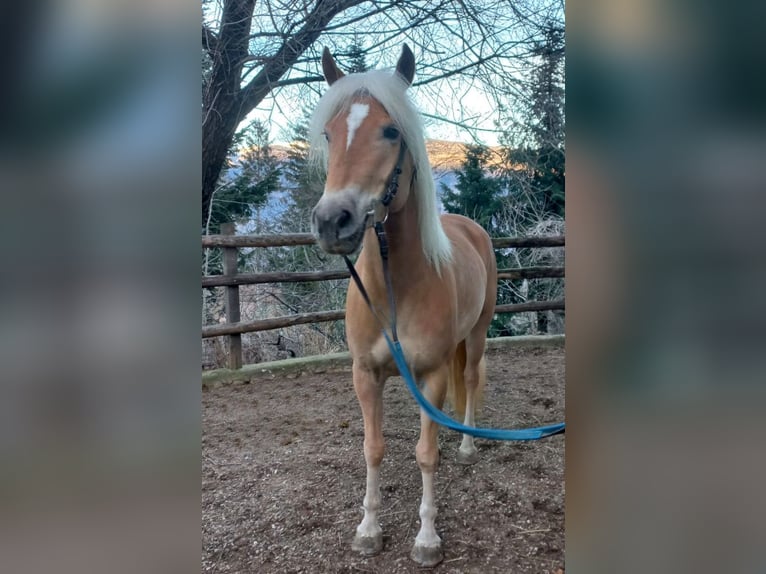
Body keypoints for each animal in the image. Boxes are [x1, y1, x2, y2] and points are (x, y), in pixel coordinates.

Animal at [308, 44, 500, 568]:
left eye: (391, 131)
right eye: (329, 133)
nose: (333, 221)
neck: (395, 287)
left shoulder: (431, 375)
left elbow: (425, 454)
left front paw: (427, 539)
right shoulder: (366, 375)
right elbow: (373, 449)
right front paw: (368, 530)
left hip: (477, 334)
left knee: (470, 379)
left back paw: (468, 446)